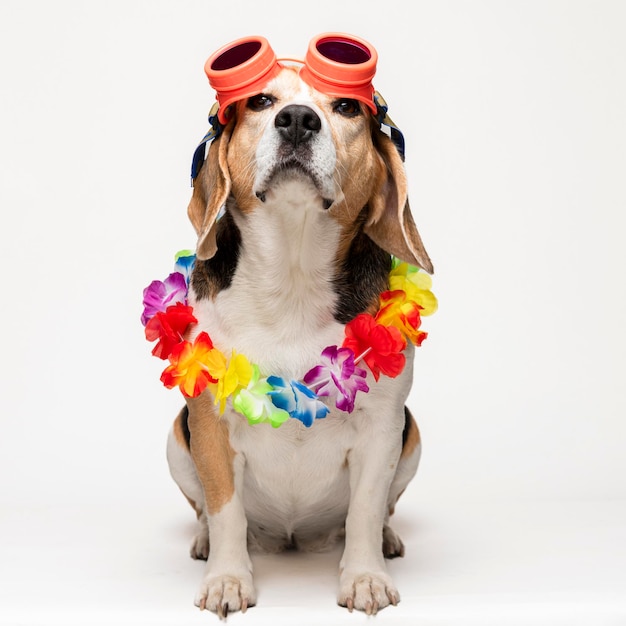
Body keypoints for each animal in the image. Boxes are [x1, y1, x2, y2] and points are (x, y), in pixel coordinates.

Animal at [163, 42, 432, 616]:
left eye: (346, 108)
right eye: (262, 101)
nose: (298, 120)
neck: (292, 273)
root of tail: (292, 537)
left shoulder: (382, 429)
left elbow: (366, 509)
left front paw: (365, 578)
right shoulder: (209, 426)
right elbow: (225, 509)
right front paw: (227, 579)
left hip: (412, 436)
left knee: (382, 510)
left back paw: (387, 541)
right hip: (177, 439)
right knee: (206, 510)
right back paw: (204, 542)